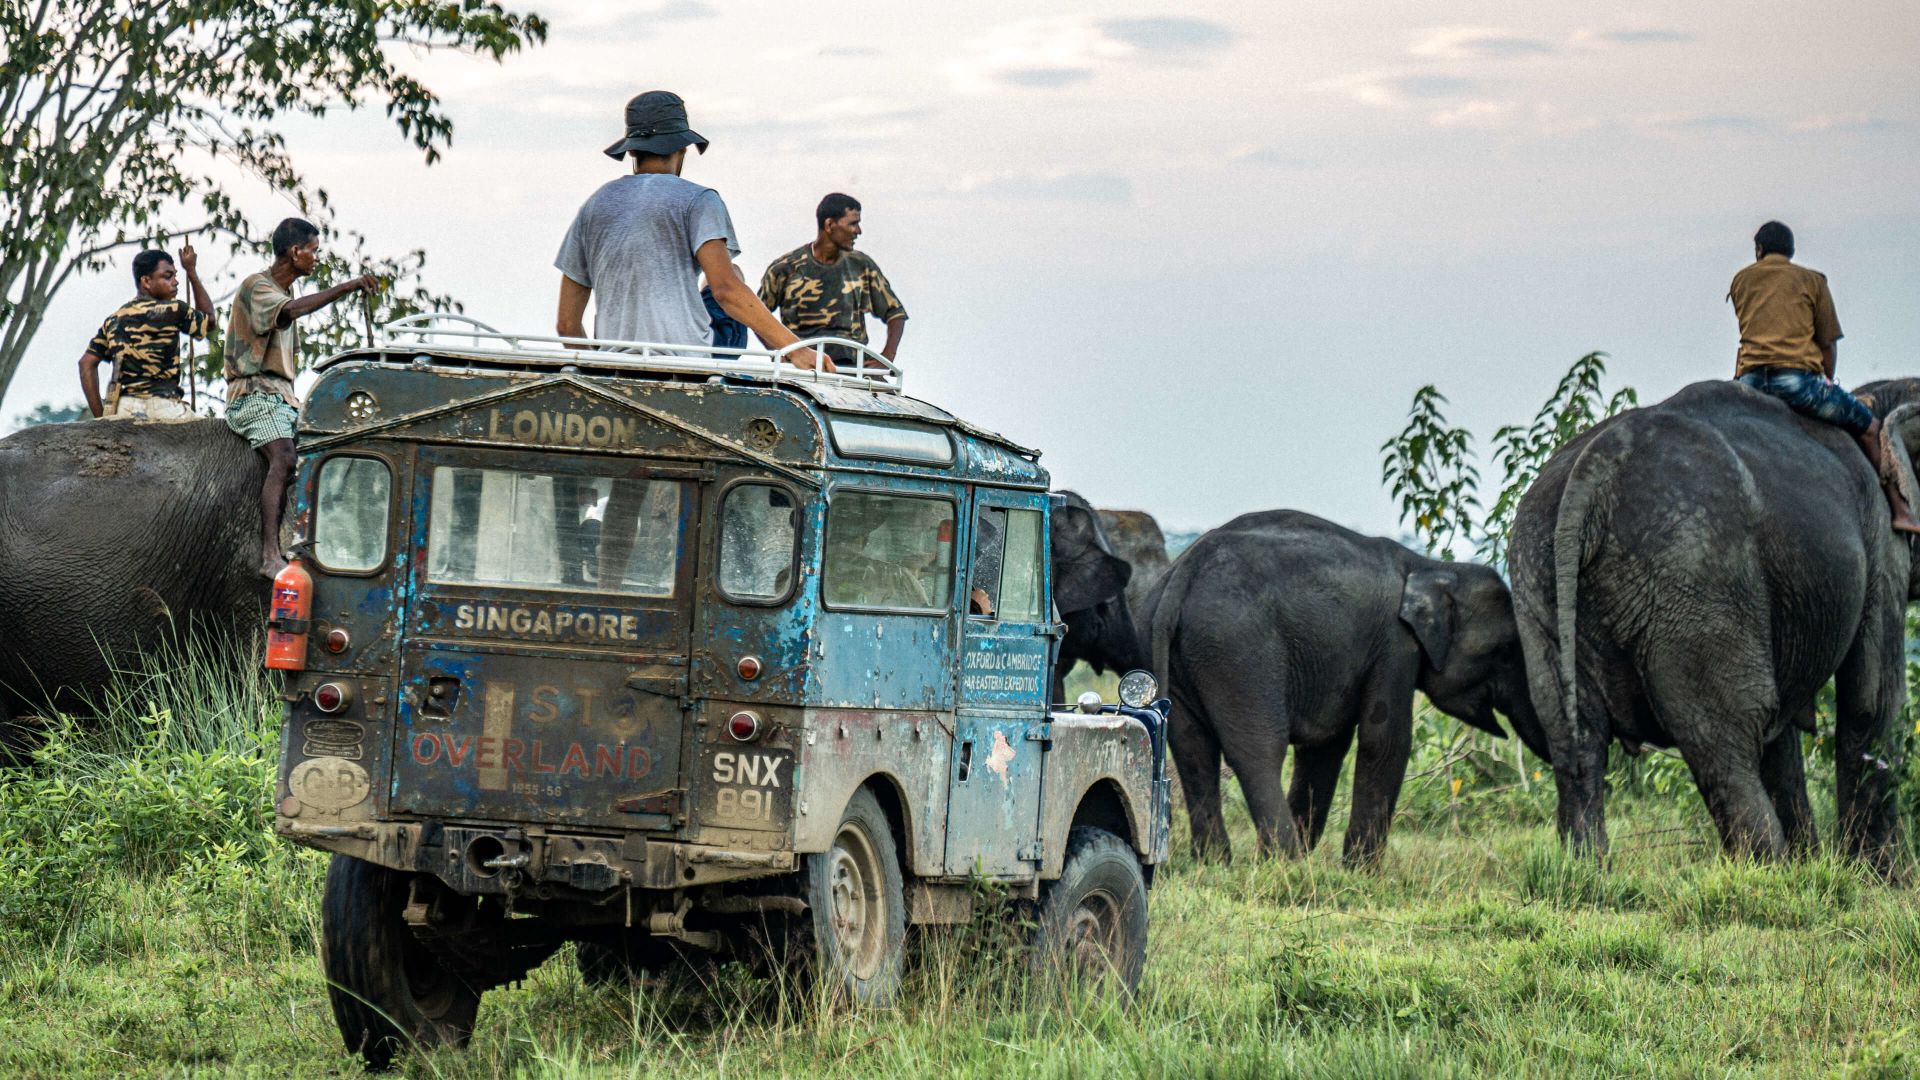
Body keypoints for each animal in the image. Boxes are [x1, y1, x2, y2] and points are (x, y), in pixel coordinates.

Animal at [1145, 510, 1544, 866]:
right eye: (1507, 651)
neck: (1429, 566)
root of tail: (1184, 571)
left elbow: (1325, 746)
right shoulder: (1395, 645)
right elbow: (1386, 740)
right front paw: (1362, 872)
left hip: (1177, 649)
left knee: (1192, 748)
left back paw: (1216, 862)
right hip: (1238, 651)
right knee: (1258, 749)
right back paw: (1285, 862)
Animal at [1508, 379, 1912, 870]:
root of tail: (1590, 476)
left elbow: (1786, 734)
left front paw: (1818, 864)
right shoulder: (1883, 534)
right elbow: (1872, 701)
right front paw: (1878, 878)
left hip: (1538, 574)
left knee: (1574, 732)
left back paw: (1589, 871)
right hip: (1694, 572)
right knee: (1731, 728)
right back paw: (1765, 873)